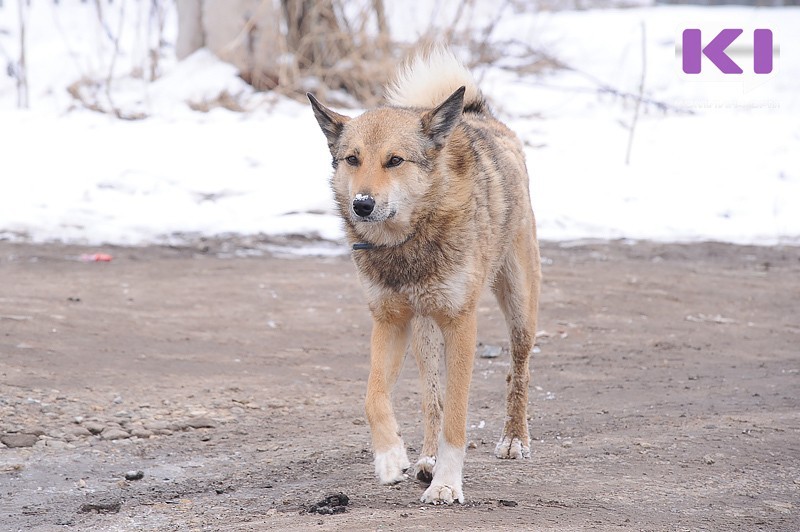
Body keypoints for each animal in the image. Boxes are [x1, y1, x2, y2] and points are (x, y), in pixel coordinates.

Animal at [308, 47, 544, 504]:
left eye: (395, 160)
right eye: (352, 159)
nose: (362, 204)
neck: (407, 243)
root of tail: (477, 114)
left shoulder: (461, 324)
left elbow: (457, 417)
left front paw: (447, 486)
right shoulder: (389, 321)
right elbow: (374, 397)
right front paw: (390, 458)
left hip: (519, 308)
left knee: (518, 370)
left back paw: (513, 439)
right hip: (424, 336)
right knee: (432, 400)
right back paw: (426, 459)